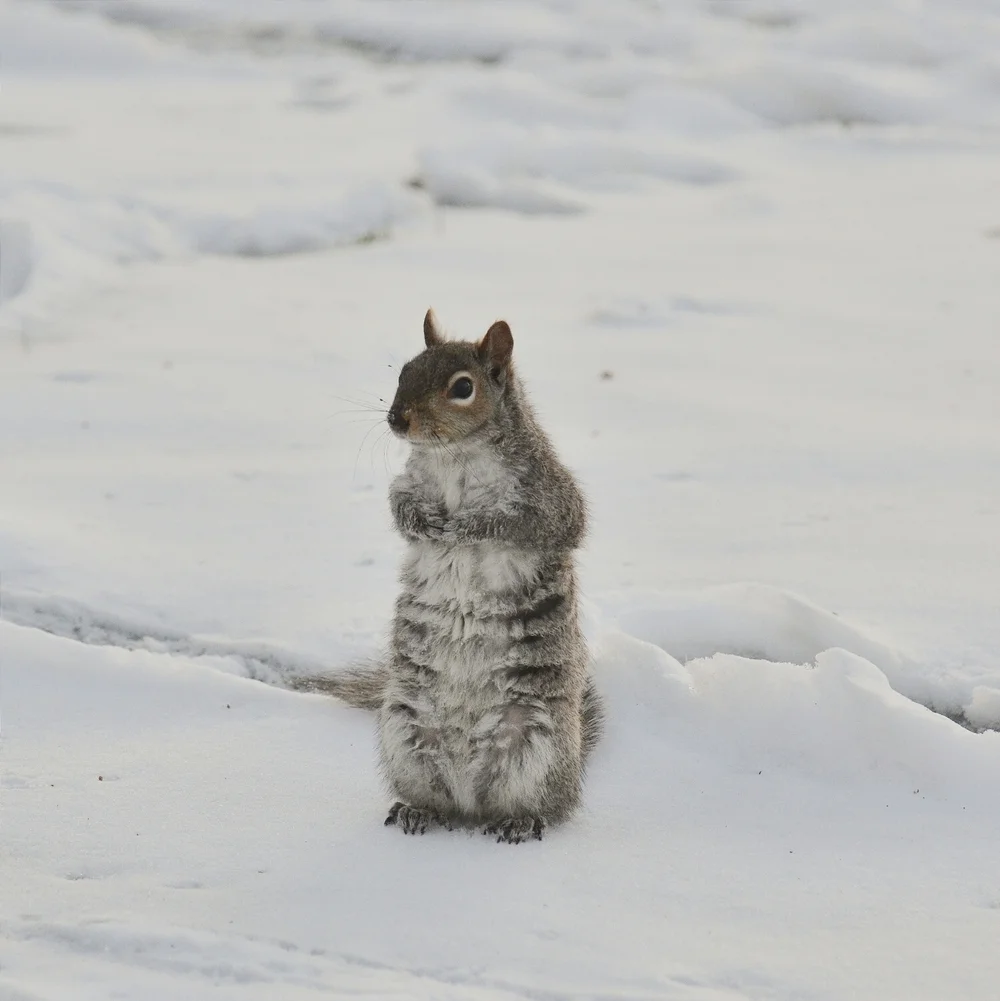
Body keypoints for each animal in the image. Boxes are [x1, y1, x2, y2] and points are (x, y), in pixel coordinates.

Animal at [302, 309, 603, 844]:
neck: (453, 455)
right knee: (436, 797)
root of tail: (471, 800)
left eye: (463, 387)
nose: (396, 419)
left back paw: (521, 819)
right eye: (404, 371)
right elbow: (399, 507)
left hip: (537, 742)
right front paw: (424, 522)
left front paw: (468, 526)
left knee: (543, 805)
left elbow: (526, 522)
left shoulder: (549, 497)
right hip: (404, 732)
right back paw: (418, 810)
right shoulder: (408, 482)